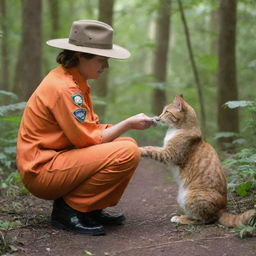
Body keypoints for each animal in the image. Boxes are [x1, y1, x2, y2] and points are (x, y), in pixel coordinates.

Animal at [140, 95, 256, 227]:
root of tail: (222, 209)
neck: (177, 129)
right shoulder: (167, 152)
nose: (158, 118)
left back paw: (180, 218)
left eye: (167, 112)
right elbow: (153, 148)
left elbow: (151, 149)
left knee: (205, 219)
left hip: (189, 196)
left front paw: (139, 149)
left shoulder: (169, 154)